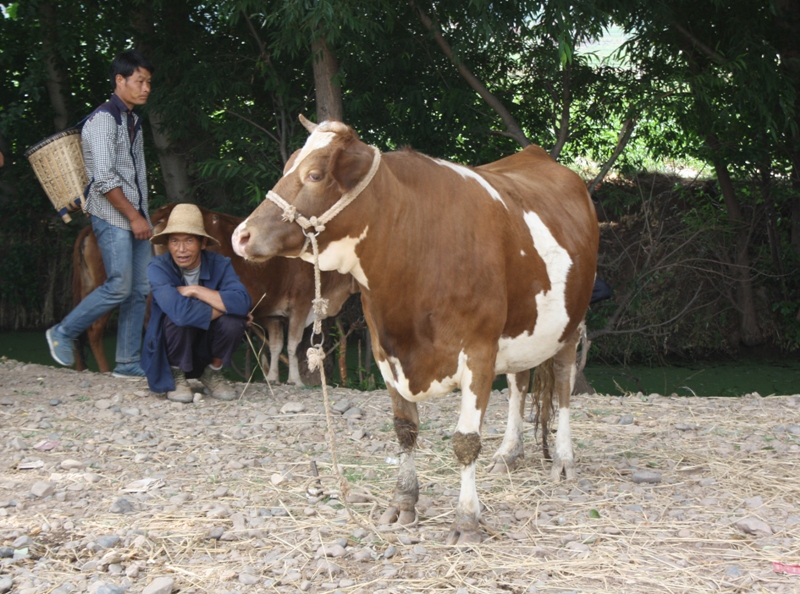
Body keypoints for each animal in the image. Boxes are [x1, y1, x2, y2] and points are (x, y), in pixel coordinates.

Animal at [72, 202, 356, 384]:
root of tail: (162, 212)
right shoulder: (300, 304)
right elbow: (293, 344)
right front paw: (295, 380)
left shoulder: (272, 313)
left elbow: (275, 346)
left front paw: (273, 377)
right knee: (107, 327)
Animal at [231, 114, 600, 540]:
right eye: (287, 166)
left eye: (315, 174)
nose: (241, 235)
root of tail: (537, 156)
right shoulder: (383, 348)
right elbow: (404, 429)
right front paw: (404, 502)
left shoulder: (479, 349)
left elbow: (466, 441)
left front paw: (467, 520)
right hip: (523, 327)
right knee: (519, 383)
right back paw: (509, 453)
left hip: (570, 323)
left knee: (562, 383)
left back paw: (563, 459)